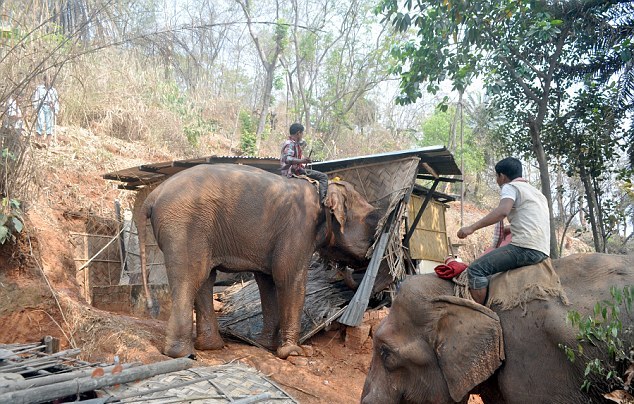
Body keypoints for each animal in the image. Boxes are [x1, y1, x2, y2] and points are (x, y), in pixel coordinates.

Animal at [135, 164, 378, 360]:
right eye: (373, 220)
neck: (322, 187)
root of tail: (152, 195)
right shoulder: (299, 228)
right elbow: (288, 277)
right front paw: (293, 353)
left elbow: (267, 281)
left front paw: (265, 345)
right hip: (184, 225)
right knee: (191, 277)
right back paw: (183, 354)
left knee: (205, 278)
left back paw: (211, 347)